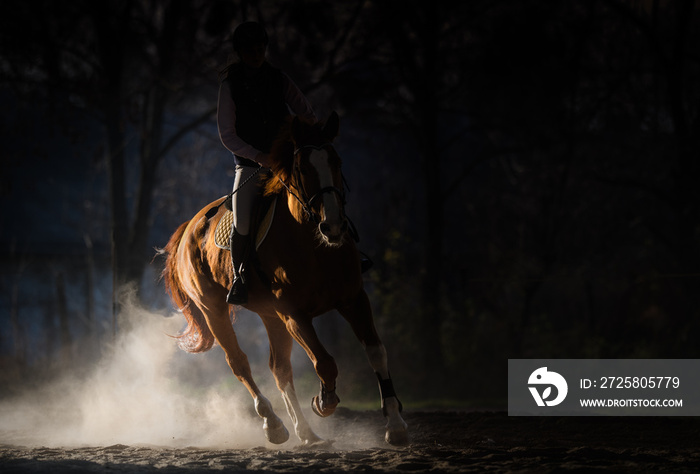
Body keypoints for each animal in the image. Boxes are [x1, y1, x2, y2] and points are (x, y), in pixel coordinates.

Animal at [161, 113, 408, 446]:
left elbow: (376, 352)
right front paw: (324, 402)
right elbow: (324, 361)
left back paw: (307, 434)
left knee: (279, 368)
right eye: (302, 168)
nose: (333, 226)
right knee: (239, 362)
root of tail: (191, 225)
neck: (314, 244)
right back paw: (274, 425)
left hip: (269, 314)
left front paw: (395, 425)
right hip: (215, 310)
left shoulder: (354, 299)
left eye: (337, 161)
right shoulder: (294, 314)